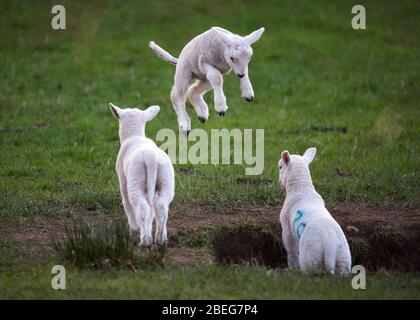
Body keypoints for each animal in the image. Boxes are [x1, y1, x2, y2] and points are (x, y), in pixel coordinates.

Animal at [109, 103, 175, 248]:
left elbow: (127, 203)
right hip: (166, 180)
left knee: (141, 207)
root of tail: (151, 157)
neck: (134, 135)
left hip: (135, 181)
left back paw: (145, 241)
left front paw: (134, 230)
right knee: (161, 207)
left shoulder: (122, 179)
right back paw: (160, 239)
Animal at [278, 148, 352, 276]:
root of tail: (330, 246)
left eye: (280, 167)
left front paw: (292, 268)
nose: (279, 181)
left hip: (310, 258)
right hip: (343, 259)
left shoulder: (286, 226)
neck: (303, 188)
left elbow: (291, 250)